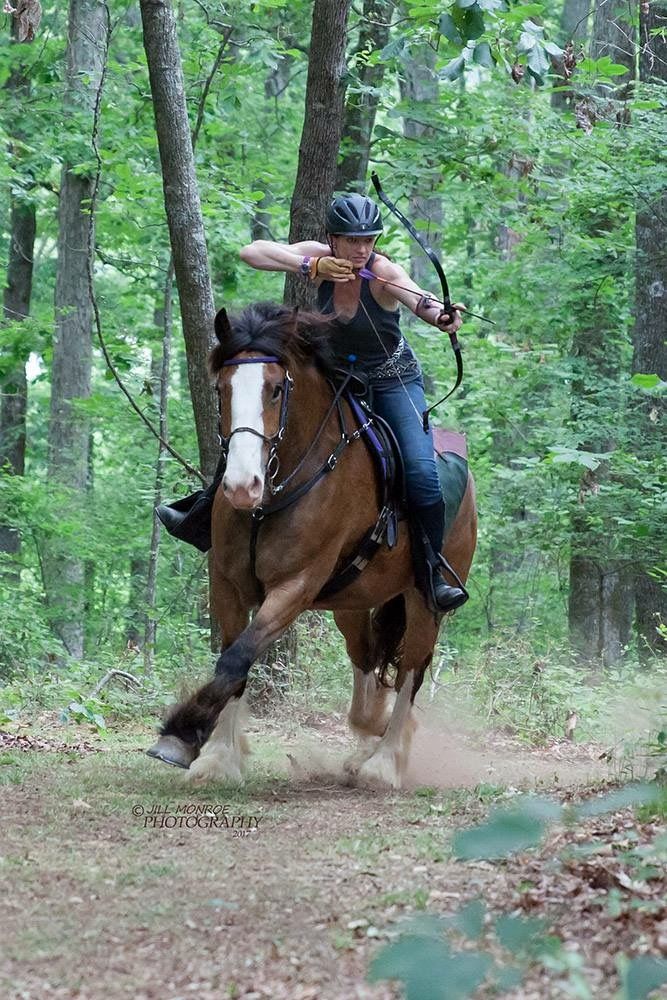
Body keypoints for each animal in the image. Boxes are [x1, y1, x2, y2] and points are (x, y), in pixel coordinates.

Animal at [149, 302, 478, 788]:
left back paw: (383, 762)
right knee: (366, 660)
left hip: (425, 598)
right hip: (352, 601)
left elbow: (237, 658)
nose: (242, 487)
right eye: (221, 388)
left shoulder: (295, 586)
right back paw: (370, 731)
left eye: (275, 389)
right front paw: (220, 756)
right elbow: (233, 660)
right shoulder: (226, 583)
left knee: (412, 671)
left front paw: (184, 737)